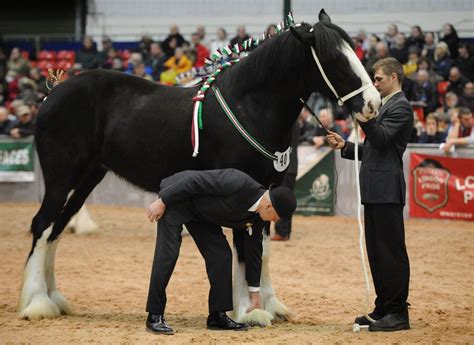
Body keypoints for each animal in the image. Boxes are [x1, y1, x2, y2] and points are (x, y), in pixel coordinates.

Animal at [18, 10, 382, 322]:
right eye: (334, 59)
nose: (373, 104)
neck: (249, 105)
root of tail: (53, 93)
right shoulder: (244, 190)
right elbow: (243, 250)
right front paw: (247, 311)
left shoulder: (270, 192)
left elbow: (263, 251)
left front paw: (271, 306)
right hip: (61, 178)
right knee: (43, 225)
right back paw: (37, 303)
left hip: (87, 177)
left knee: (57, 228)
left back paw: (54, 299)